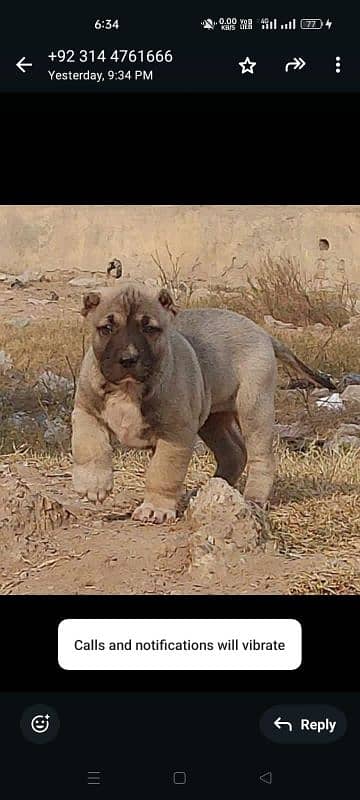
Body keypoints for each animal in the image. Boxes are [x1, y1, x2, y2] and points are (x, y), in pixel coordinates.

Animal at [71, 284, 336, 520]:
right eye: (106, 328)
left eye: (150, 329)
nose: (128, 359)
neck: (127, 389)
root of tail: (263, 333)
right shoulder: (85, 412)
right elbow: (89, 446)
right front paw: (94, 484)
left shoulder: (175, 434)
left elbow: (163, 472)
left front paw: (155, 508)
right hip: (213, 419)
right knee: (233, 452)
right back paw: (211, 490)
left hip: (254, 409)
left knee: (261, 458)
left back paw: (253, 498)